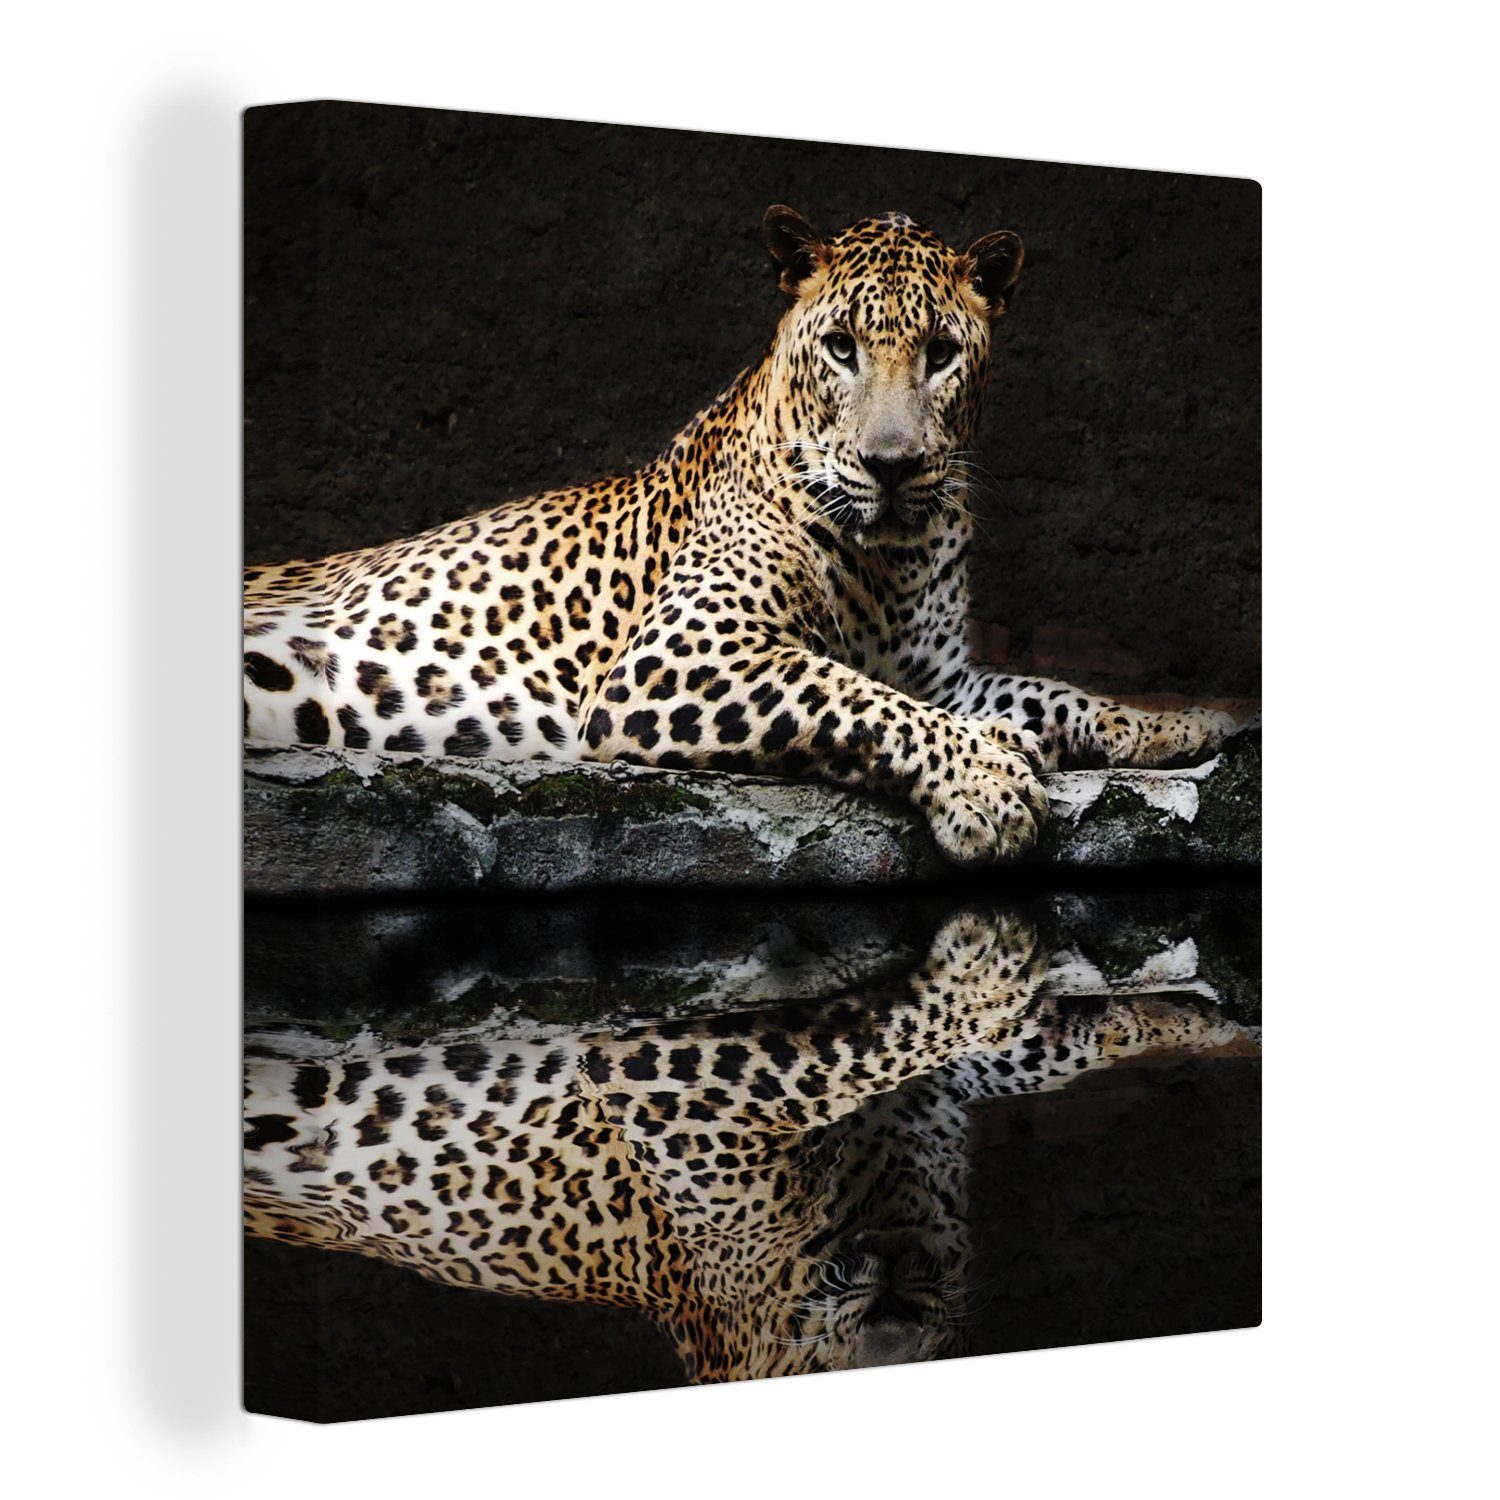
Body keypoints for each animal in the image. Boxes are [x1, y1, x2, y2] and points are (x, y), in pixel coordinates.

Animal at [244, 205, 1234, 863]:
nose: (892, 465)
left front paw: (1169, 724)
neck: (895, 555)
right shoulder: (678, 660)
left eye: (942, 354)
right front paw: (986, 785)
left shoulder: (943, 675)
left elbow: (1048, 691)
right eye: (842, 347)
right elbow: (851, 695)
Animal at [244, 908, 1253, 1384]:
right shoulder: (671, 1073)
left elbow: (1056, 1035)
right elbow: (900, 1028)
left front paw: (1209, 1018)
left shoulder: (937, 1094)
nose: (887, 1301)